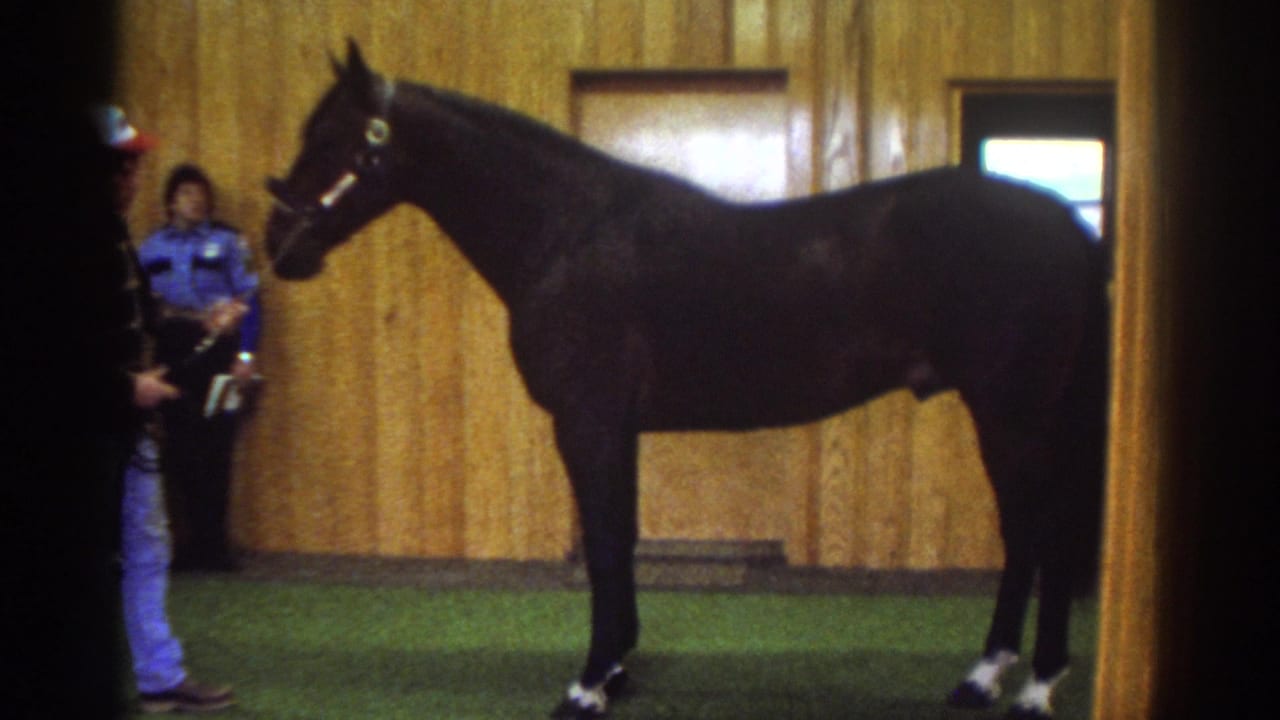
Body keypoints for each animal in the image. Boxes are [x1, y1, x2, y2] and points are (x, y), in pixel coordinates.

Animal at [264, 40, 1107, 720]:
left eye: (334, 137)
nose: (279, 243)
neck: (566, 234)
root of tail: (1066, 223)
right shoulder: (616, 427)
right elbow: (624, 538)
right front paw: (618, 669)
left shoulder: (588, 421)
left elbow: (606, 544)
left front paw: (586, 686)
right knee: (1024, 532)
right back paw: (982, 678)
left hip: (1012, 411)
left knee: (1044, 531)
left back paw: (1033, 687)